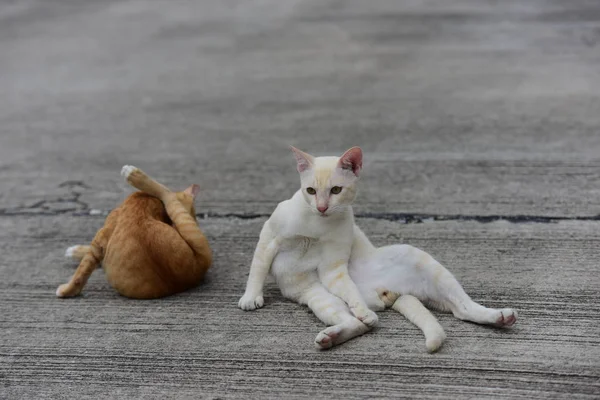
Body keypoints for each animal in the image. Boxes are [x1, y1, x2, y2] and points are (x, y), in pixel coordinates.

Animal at [54, 164, 213, 298]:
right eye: (195, 216)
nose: (196, 222)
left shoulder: (102, 235)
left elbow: (82, 271)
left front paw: (67, 291)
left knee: (167, 194)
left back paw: (133, 174)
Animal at [239, 146, 516, 350]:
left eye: (336, 190)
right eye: (310, 190)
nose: (321, 207)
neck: (317, 224)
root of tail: (386, 294)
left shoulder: (333, 267)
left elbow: (350, 291)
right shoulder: (269, 238)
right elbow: (257, 270)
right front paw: (251, 298)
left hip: (425, 263)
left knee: (462, 308)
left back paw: (500, 316)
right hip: (321, 298)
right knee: (357, 322)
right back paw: (332, 336)